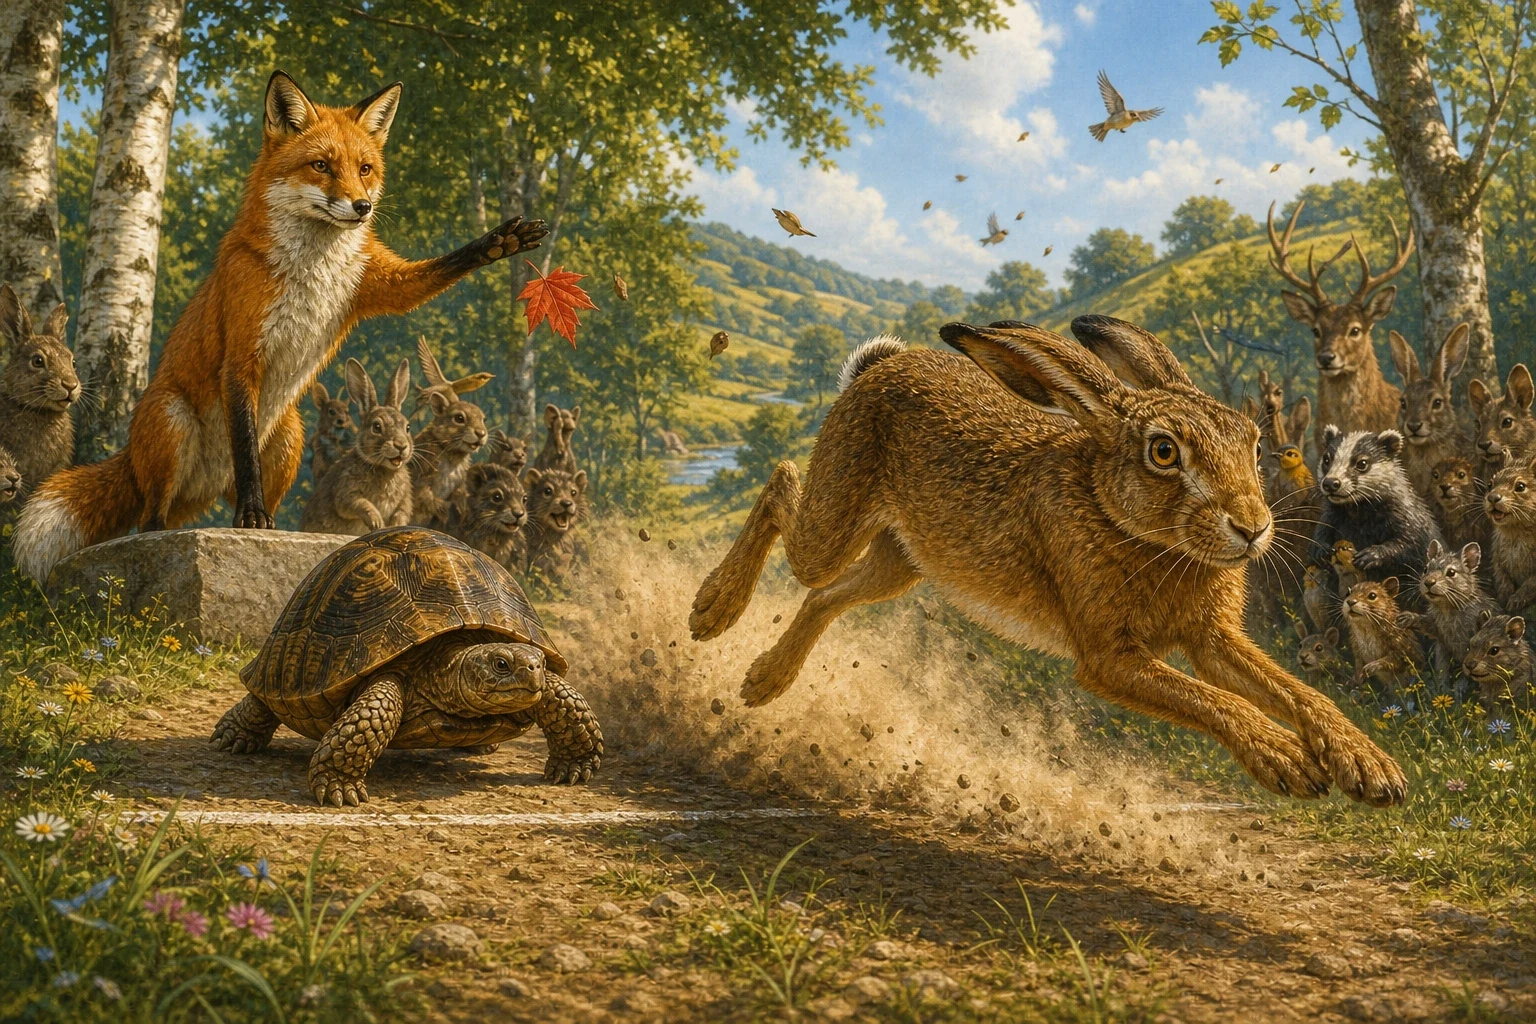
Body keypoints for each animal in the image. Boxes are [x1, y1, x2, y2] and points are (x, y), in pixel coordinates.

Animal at [301, 358, 413, 536]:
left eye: (407, 427)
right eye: (376, 427)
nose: (401, 446)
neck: (383, 469)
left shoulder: (404, 501)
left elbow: (401, 514)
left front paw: (395, 528)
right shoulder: (346, 491)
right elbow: (359, 503)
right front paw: (377, 522)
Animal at [408, 337, 491, 526]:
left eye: (483, 419)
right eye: (459, 418)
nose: (481, 434)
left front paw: (460, 508)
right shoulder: (421, 479)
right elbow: (427, 498)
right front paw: (444, 511)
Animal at [690, 317, 1406, 806]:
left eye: (1253, 443)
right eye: (1164, 453)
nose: (1252, 529)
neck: (1131, 524)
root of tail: (878, 369)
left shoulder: (1211, 637)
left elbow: (1294, 690)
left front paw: (1370, 769)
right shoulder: (1109, 657)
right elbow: (1212, 699)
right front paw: (1287, 761)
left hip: (905, 561)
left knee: (826, 595)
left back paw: (764, 682)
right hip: (837, 517)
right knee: (785, 492)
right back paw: (712, 610)